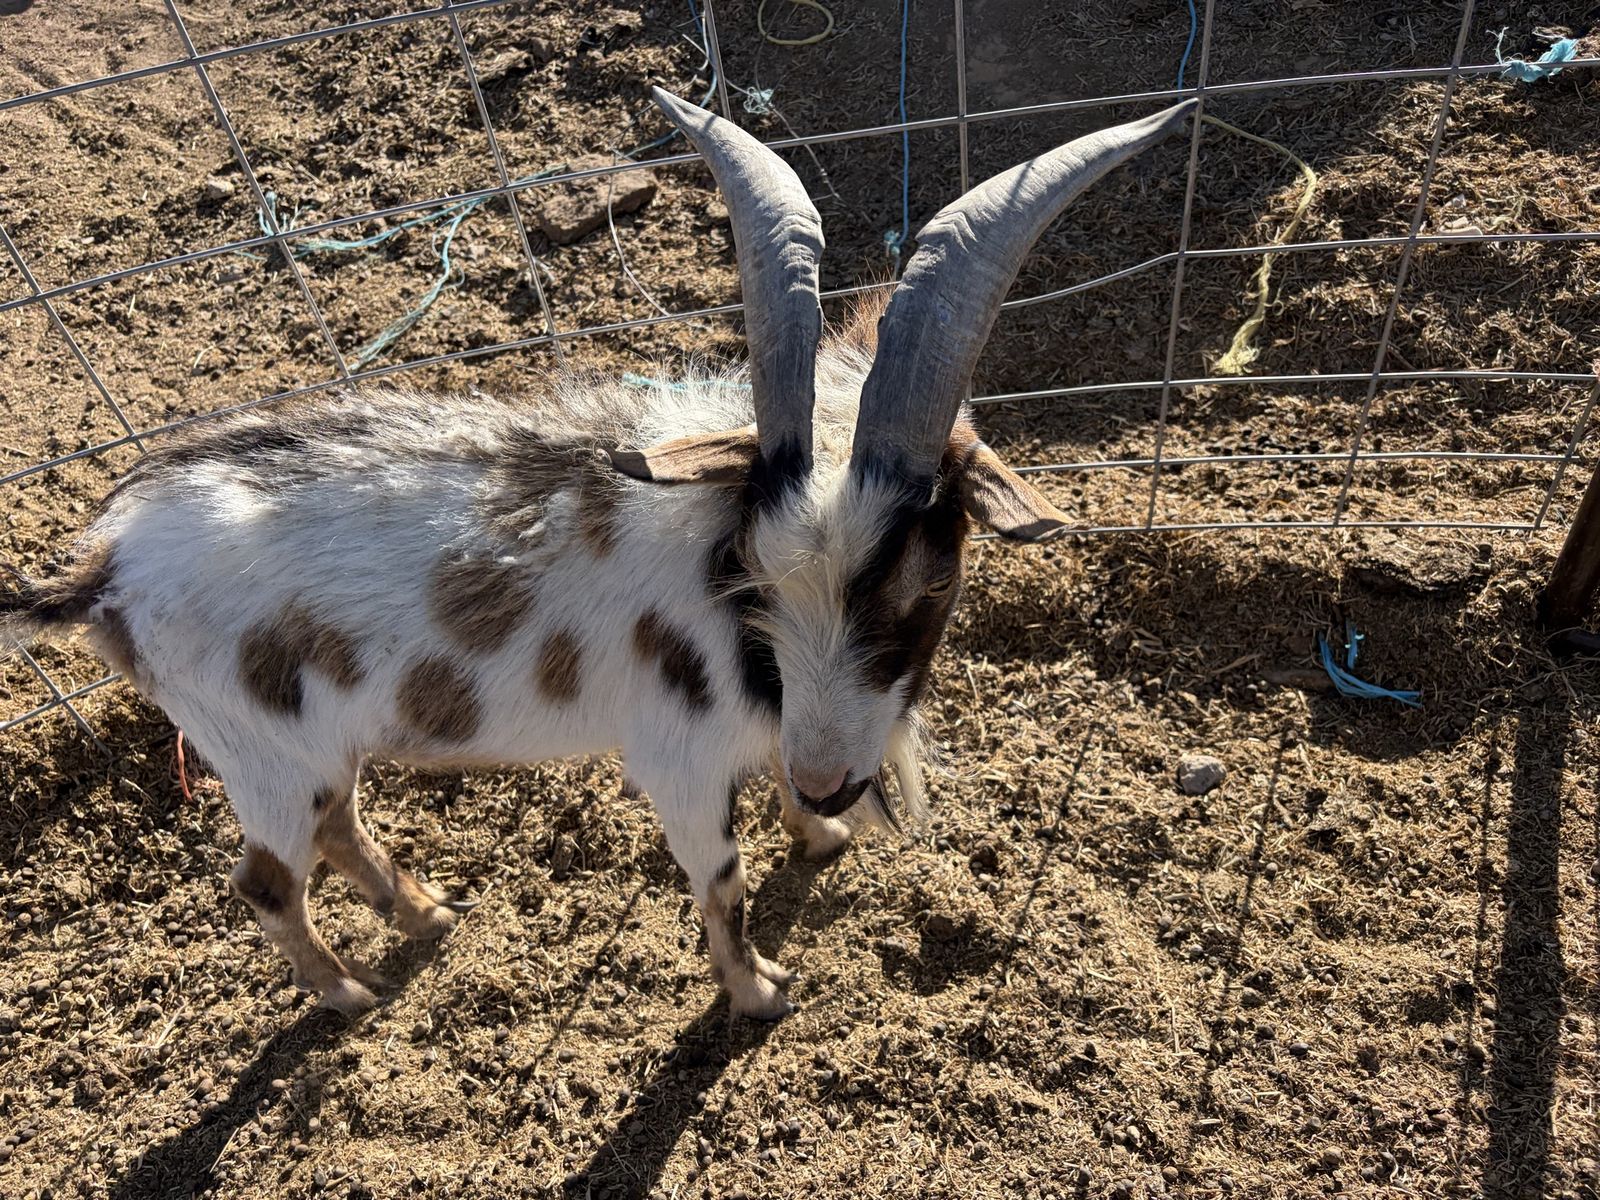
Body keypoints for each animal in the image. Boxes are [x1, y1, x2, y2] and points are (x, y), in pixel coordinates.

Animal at [1, 91, 1194, 1019]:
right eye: (755, 577)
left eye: (927, 581)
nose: (830, 775)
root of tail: (105, 567)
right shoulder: (677, 758)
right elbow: (721, 883)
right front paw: (759, 992)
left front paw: (819, 834)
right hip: (256, 752)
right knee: (262, 883)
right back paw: (347, 993)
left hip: (308, 742)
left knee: (339, 821)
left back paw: (427, 914)